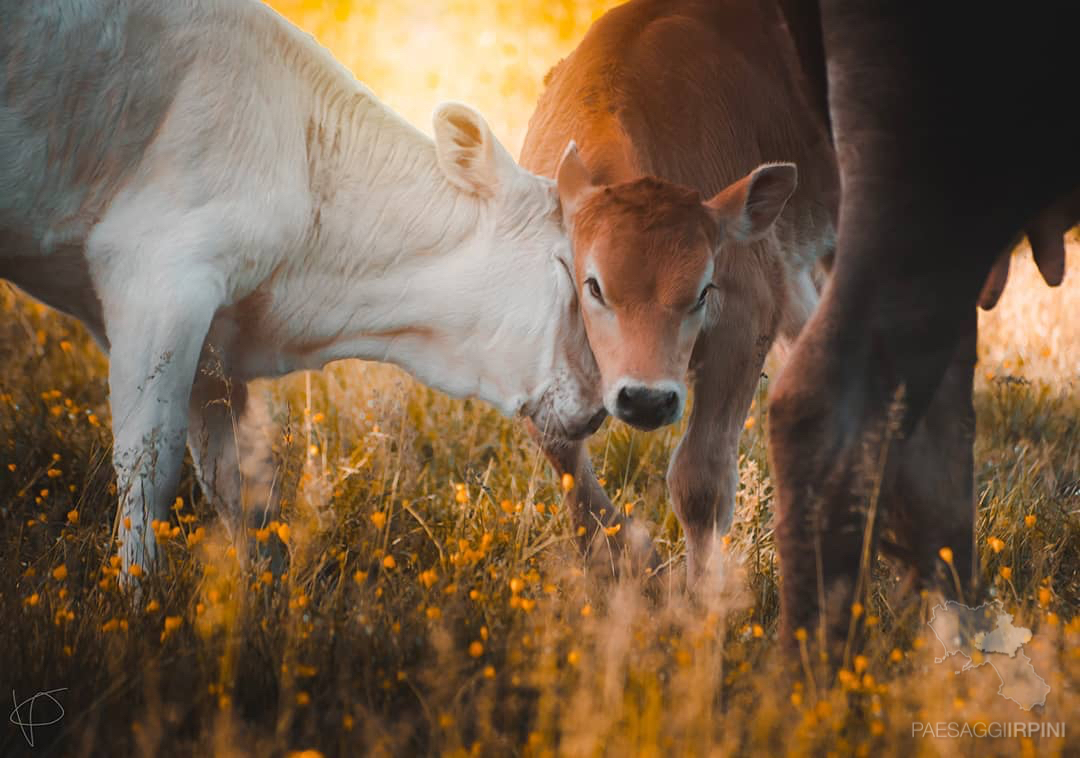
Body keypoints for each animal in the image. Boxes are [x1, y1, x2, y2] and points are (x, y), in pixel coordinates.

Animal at [518, 0, 838, 574]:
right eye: (593, 286)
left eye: (703, 292)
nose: (646, 401)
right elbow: (557, 442)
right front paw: (625, 559)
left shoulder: (743, 322)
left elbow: (699, 480)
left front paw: (697, 592)